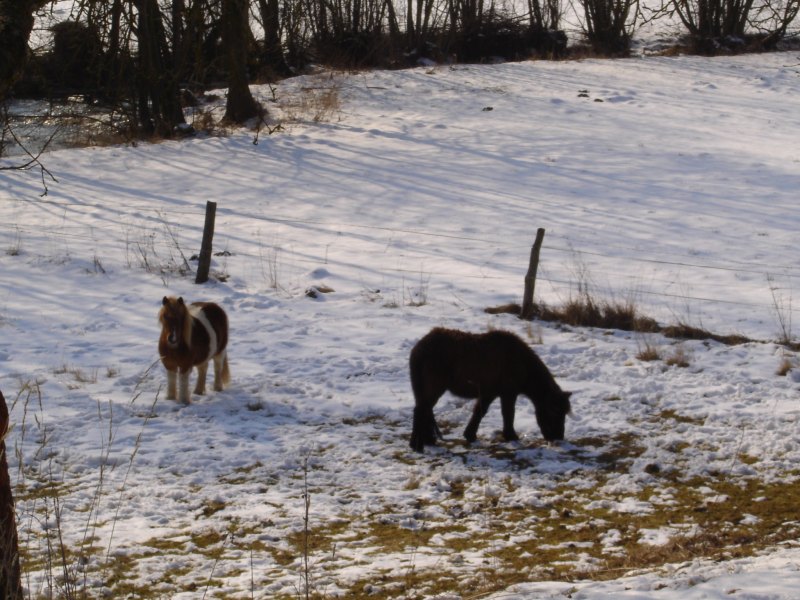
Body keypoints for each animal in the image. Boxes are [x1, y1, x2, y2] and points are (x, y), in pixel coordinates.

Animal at [410, 328, 572, 450]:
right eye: (555, 411)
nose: (558, 437)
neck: (521, 361)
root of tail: (420, 347)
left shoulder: (489, 393)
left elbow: (480, 411)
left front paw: (470, 435)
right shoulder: (508, 393)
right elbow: (508, 414)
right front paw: (511, 436)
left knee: (425, 410)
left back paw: (428, 440)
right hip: (434, 387)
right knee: (421, 410)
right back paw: (417, 444)